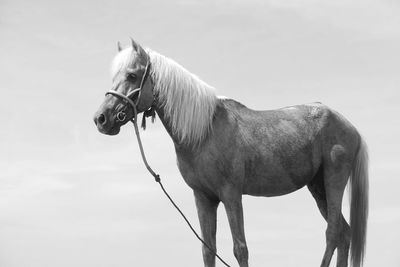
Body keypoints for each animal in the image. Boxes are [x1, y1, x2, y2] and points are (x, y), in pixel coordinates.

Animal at [93, 39, 368, 267]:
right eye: (115, 75)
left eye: (132, 75)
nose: (101, 119)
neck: (203, 131)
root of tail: (350, 126)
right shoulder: (204, 198)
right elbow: (208, 250)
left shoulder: (231, 195)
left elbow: (240, 248)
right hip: (317, 187)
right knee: (343, 233)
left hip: (333, 181)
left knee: (333, 233)